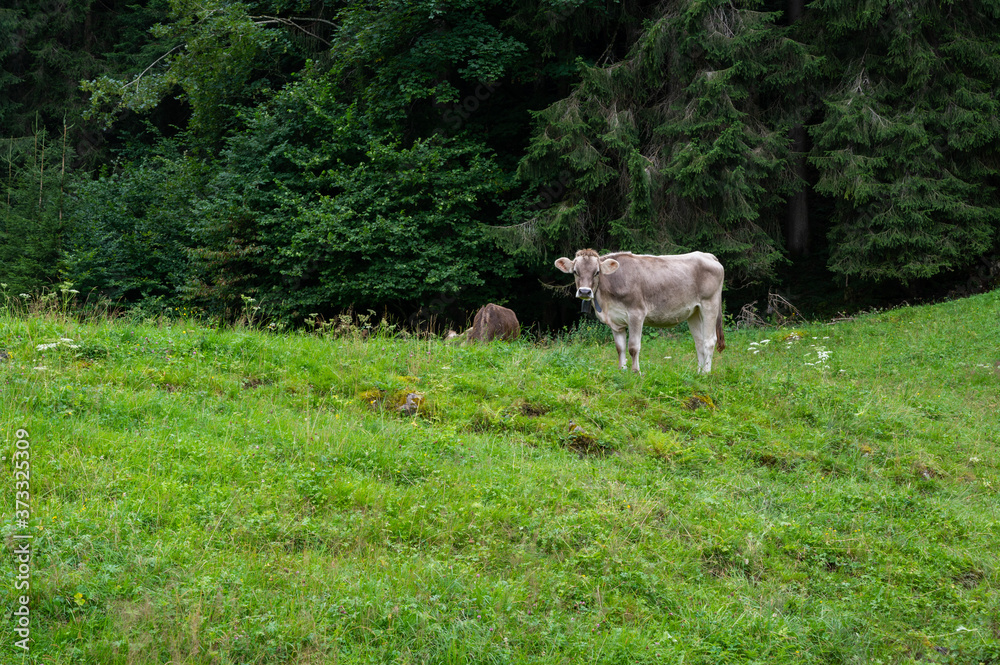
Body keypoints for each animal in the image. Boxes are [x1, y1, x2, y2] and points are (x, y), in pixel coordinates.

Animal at [555, 249, 725, 373]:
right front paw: (622, 371)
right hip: (694, 312)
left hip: (709, 304)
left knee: (709, 341)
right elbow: (620, 348)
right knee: (699, 342)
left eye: (597, 272)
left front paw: (636, 372)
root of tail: (707, 255)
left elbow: (633, 347)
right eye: (575, 271)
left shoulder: (636, 314)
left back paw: (706, 374)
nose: (584, 291)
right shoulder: (615, 320)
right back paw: (698, 373)